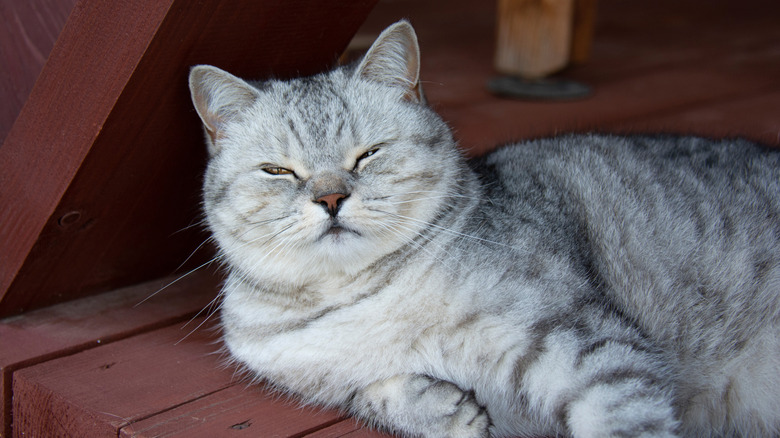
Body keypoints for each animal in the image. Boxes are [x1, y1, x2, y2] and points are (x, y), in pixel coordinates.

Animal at [187, 19, 780, 438]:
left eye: (369, 154)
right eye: (278, 171)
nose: (330, 198)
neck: (355, 298)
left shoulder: (591, 348)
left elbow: (621, 420)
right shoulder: (322, 376)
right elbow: (371, 394)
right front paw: (447, 408)